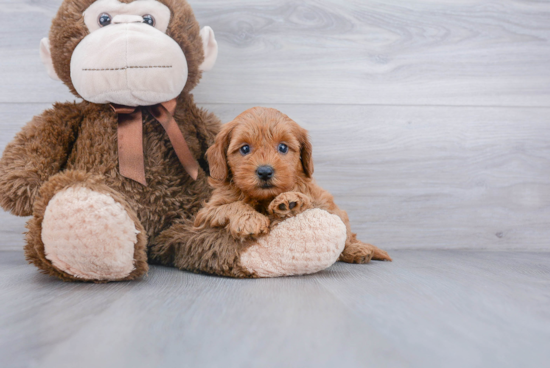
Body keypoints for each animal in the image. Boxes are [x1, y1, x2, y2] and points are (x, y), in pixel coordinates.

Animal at [194, 105, 392, 264]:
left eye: (283, 147)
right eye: (244, 148)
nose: (265, 171)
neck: (263, 199)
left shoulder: (317, 198)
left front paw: (289, 200)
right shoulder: (206, 212)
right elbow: (231, 205)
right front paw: (250, 220)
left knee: (348, 235)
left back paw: (357, 250)